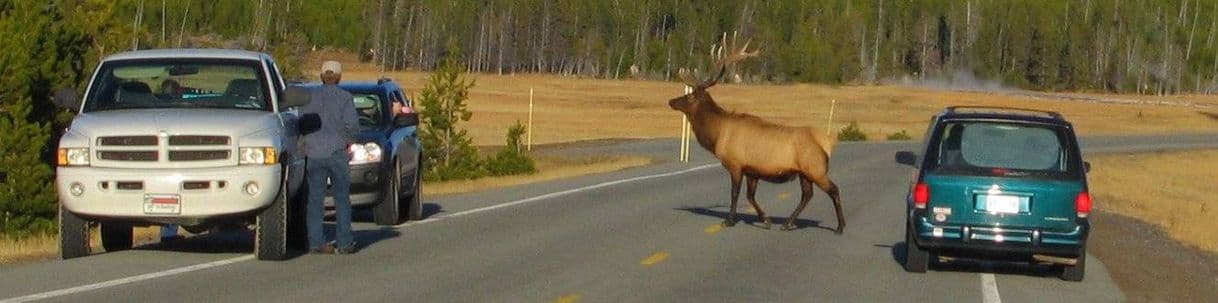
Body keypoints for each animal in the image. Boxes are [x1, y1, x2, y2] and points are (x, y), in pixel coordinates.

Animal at [672, 41, 842, 233]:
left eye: (690, 96)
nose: (671, 101)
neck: (717, 135)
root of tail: (827, 144)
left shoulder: (736, 164)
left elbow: (735, 194)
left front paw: (729, 220)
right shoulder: (752, 170)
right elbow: (750, 196)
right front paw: (766, 220)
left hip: (816, 168)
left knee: (834, 190)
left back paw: (840, 226)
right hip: (804, 173)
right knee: (807, 194)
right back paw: (787, 223)